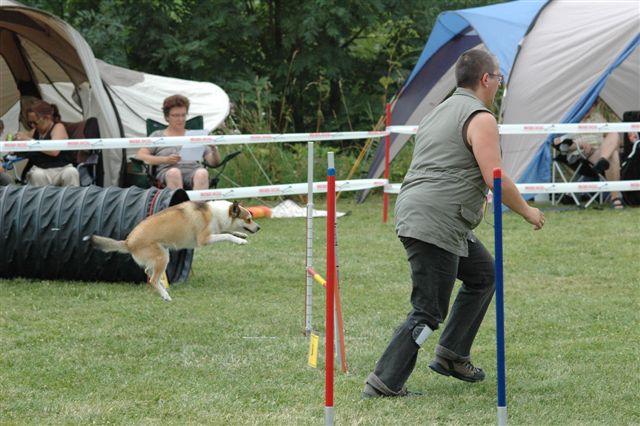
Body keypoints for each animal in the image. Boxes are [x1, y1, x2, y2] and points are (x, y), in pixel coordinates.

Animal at [87, 201, 260, 302]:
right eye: (248, 219)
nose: (259, 228)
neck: (217, 213)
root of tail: (128, 242)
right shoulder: (204, 239)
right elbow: (225, 235)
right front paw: (241, 241)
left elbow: (228, 232)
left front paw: (242, 235)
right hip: (163, 257)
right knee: (153, 279)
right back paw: (165, 295)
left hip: (159, 256)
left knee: (149, 273)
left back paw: (164, 291)